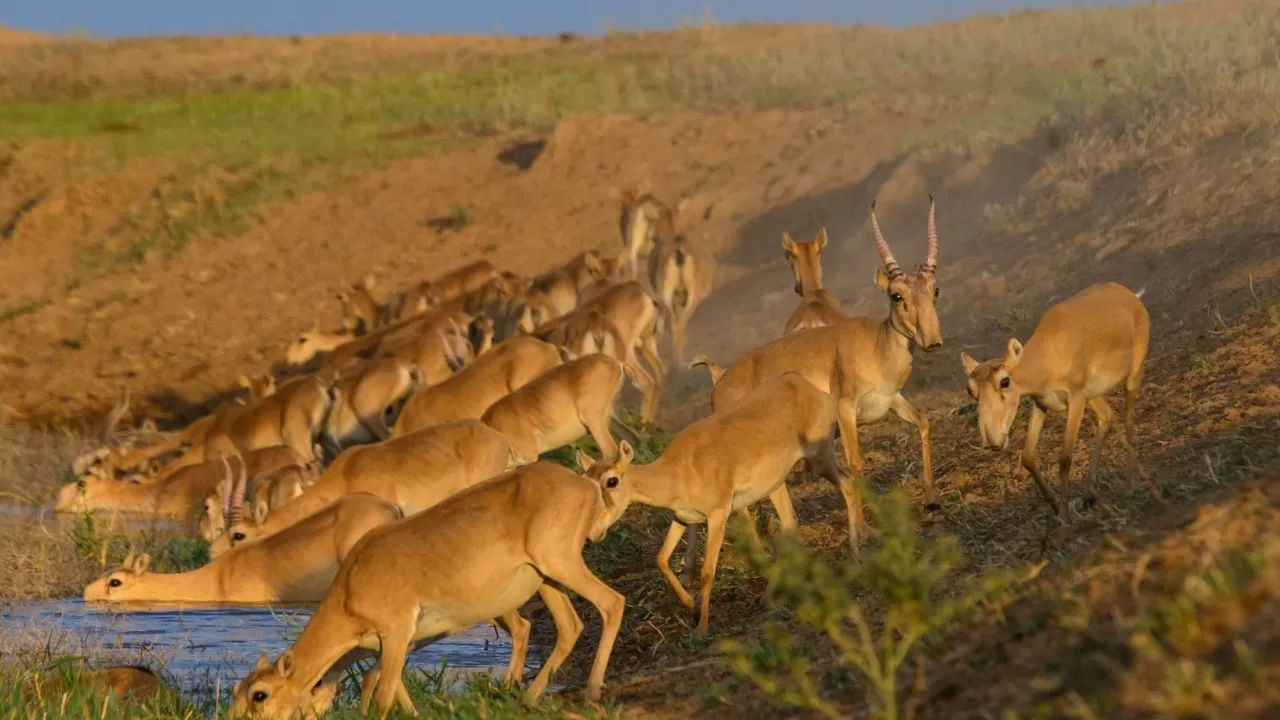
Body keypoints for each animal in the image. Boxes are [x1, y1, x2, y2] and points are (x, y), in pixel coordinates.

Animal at [230, 456, 629, 712]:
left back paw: (593, 691)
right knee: (569, 626)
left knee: (612, 603)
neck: (351, 584)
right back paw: (528, 697)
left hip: (560, 563)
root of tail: (586, 484)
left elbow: (383, 697)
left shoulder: (395, 633)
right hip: (546, 579)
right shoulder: (393, 646)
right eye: (236, 692)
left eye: (260, 695)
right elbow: (390, 691)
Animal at [581, 368, 860, 632]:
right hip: (776, 484)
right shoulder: (682, 517)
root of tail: (803, 384)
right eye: (586, 479)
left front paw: (701, 627)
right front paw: (690, 605)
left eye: (611, 481)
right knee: (791, 523)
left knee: (848, 485)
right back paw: (769, 597)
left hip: (820, 457)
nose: (592, 533)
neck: (678, 470)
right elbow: (661, 559)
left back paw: (855, 551)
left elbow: (707, 572)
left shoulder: (717, 515)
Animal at [962, 278, 1162, 512]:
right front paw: (1056, 505)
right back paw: (1090, 493)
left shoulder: (1075, 398)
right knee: (1106, 416)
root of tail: (1126, 293)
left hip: (1132, 374)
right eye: (971, 390)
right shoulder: (1041, 403)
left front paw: (1065, 516)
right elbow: (1028, 457)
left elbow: (1065, 458)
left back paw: (1129, 485)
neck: (1049, 355)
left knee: (1129, 420)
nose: (993, 441)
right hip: (1092, 395)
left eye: (1004, 381)